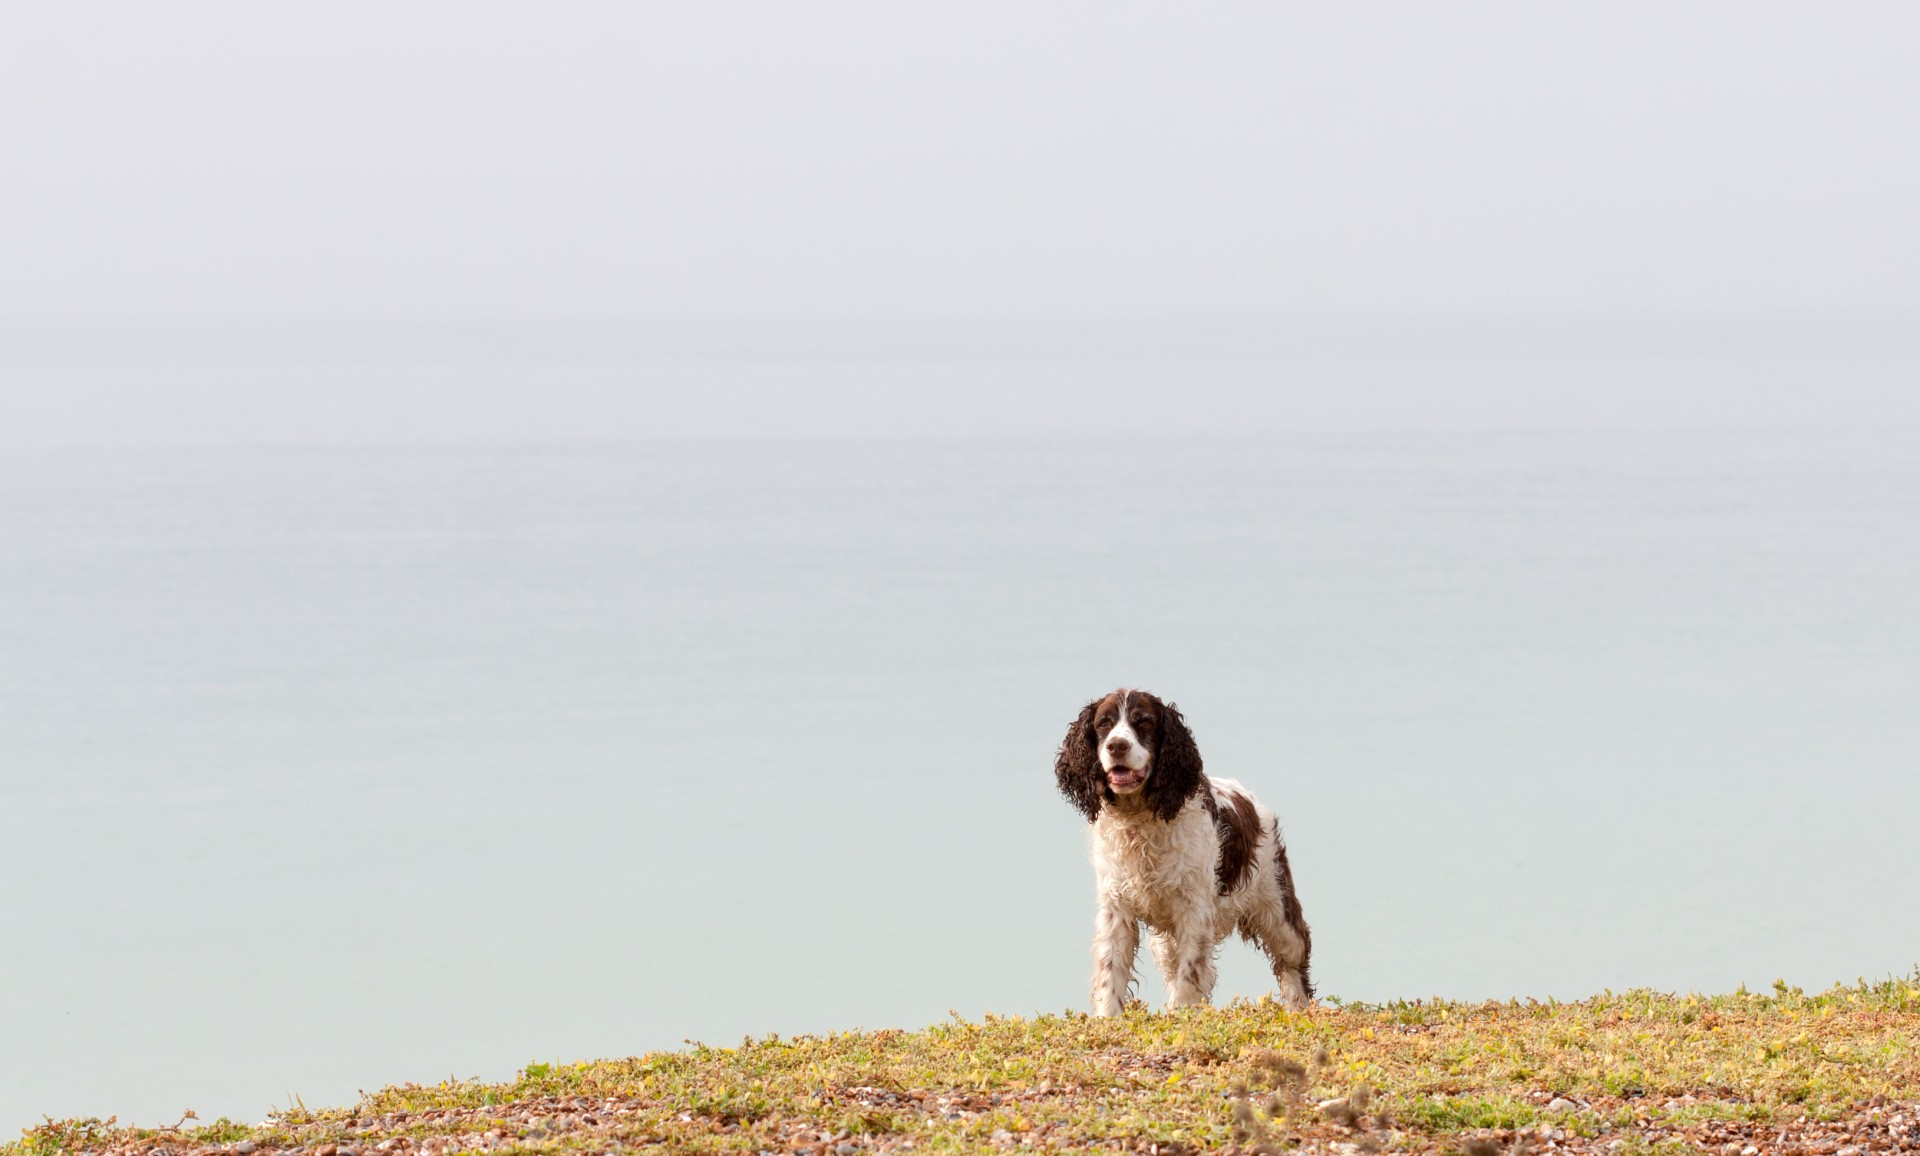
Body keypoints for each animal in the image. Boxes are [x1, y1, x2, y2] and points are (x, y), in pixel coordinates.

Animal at [1059, 683, 1313, 1006]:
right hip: (1165, 941)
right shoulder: (1117, 906)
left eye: (1144, 722)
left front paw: (1179, 1013)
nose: (1117, 746)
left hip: (1276, 905)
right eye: (1103, 723)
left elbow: (1189, 977)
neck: (1140, 819)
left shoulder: (1195, 910)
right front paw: (1108, 1015)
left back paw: (1298, 1008)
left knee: (1293, 958)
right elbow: (1110, 974)